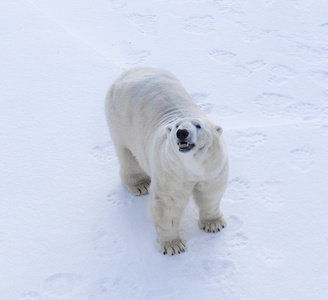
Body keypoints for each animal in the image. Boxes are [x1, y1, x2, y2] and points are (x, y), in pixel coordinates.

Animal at [105, 68, 228, 255]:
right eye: (177, 126)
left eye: (198, 125)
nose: (182, 132)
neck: (192, 167)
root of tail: (130, 71)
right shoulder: (170, 172)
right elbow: (167, 205)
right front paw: (173, 246)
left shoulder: (213, 167)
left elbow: (210, 192)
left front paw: (214, 224)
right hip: (120, 122)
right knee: (127, 155)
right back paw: (139, 185)